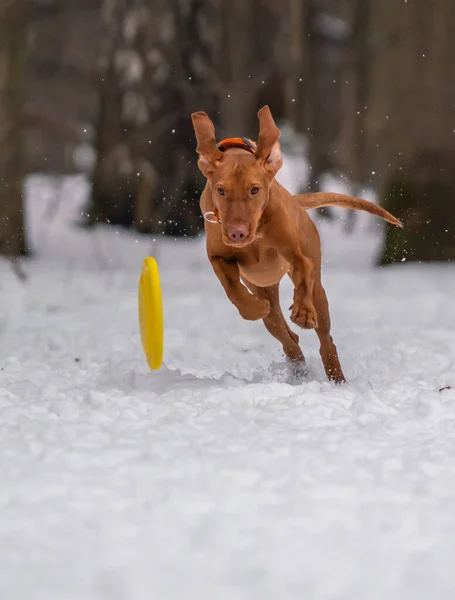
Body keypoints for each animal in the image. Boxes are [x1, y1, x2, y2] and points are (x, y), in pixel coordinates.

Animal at [191, 105, 402, 382]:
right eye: (221, 191)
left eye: (255, 190)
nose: (237, 233)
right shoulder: (218, 256)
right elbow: (233, 289)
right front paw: (253, 308)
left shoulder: (295, 253)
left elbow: (303, 271)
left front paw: (303, 311)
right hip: (264, 289)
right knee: (284, 333)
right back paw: (297, 365)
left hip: (319, 294)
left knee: (325, 339)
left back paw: (335, 377)